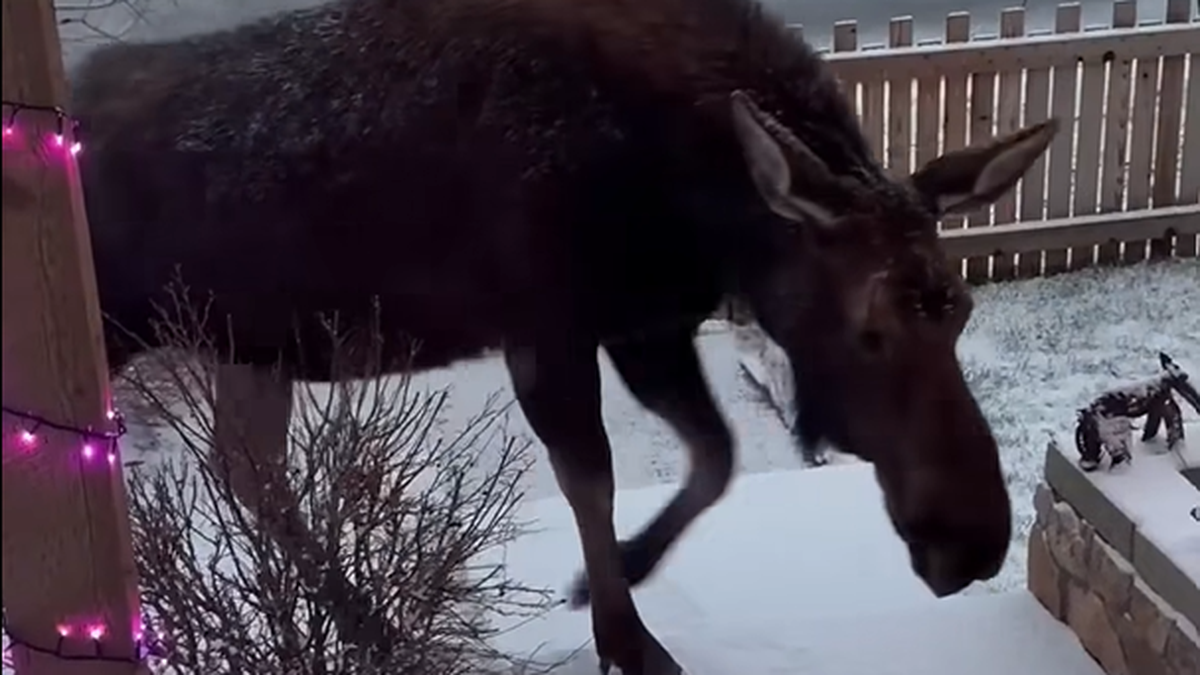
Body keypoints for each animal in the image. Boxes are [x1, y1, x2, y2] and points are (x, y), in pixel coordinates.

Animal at [68, 0, 1060, 667]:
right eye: (868, 328)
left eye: (960, 309)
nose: (974, 540)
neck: (697, 210)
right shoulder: (549, 324)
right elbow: (595, 478)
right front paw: (627, 636)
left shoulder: (647, 320)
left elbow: (717, 454)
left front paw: (620, 574)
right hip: (124, 328)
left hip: (246, 341)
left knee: (247, 469)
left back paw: (368, 626)